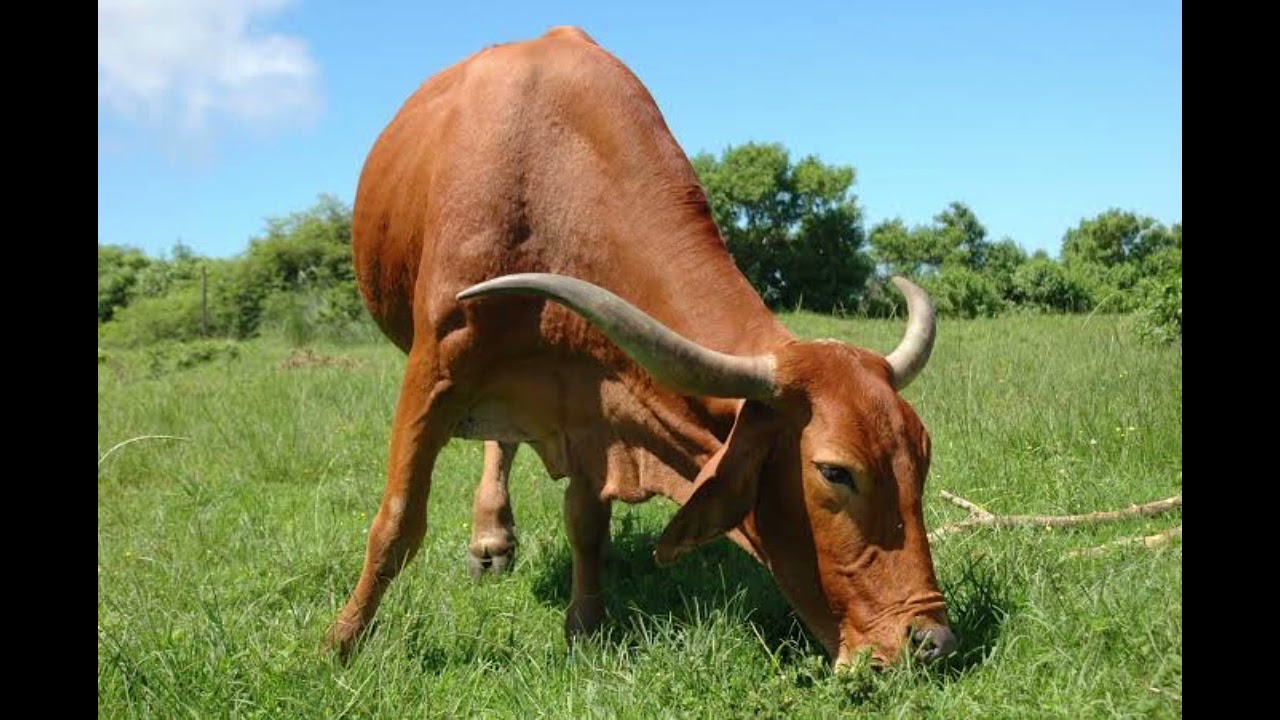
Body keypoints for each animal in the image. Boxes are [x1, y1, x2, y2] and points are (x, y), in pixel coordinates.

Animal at [325, 25, 956, 668]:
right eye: (835, 473)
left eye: (923, 455)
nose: (933, 641)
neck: (552, 180)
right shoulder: (436, 365)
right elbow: (397, 523)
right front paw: (340, 642)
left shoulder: (592, 401)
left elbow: (585, 522)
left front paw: (584, 626)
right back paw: (485, 543)